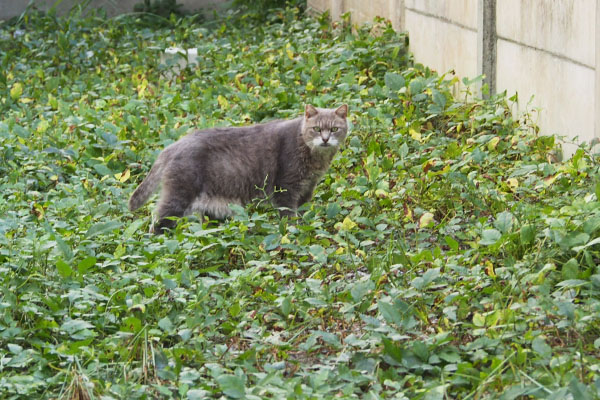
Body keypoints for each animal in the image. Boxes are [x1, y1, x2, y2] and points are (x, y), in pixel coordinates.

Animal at [129, 104, 350, 233]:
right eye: (316, 129)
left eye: (334, 129)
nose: (325, 139)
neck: (316, 159)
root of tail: (172, 146)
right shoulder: (285, 188)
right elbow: (288, 215)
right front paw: (292, 231)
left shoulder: (306, 189)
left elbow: (302, 213)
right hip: (178, 198)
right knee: (158, 223)